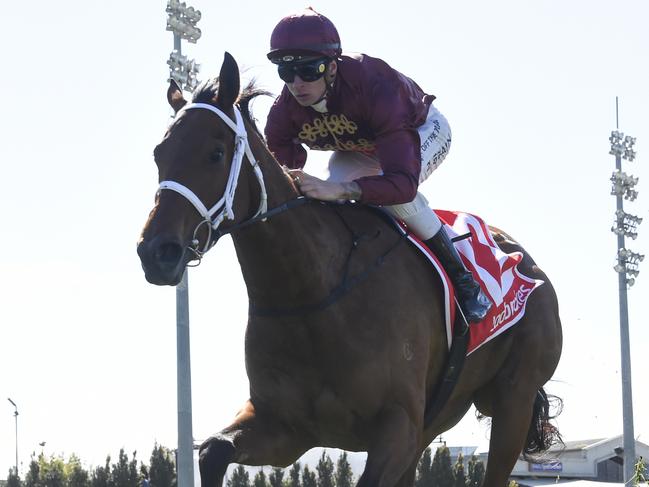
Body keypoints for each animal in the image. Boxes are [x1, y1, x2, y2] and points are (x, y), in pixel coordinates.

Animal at [138, 53, 560, 487]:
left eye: (216, 153)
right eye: (158, 154)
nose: (156, 252)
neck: (312, 293)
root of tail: (525, 259)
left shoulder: (398, 426)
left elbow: (402, 182)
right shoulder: (285, 428)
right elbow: (212, 449)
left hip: (514, 397)